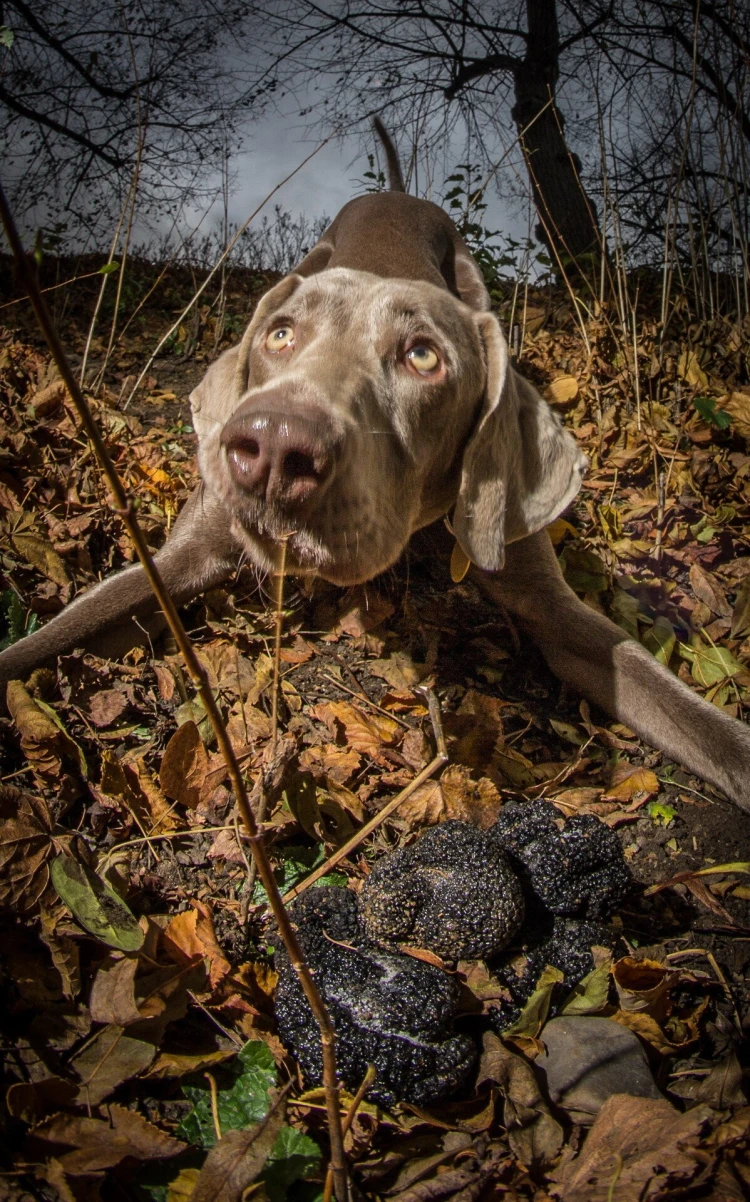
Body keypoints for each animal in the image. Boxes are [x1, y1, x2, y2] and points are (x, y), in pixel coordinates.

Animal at [4, 126, 750, 812]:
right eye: (279, 335)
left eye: (424, 356)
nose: (273, 448)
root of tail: (396, 192)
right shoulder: (176, 560)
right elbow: (44, 643)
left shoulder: (554, 607)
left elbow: (673, 701)